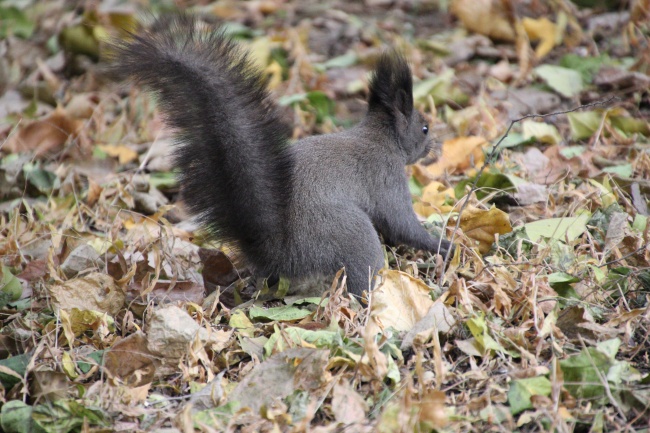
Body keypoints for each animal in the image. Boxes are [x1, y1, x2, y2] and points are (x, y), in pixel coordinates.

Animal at [110, 14, 450, 296]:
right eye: (424, 128)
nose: (433, 146)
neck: (381, 138)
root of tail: (280, 252)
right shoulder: (386, 176)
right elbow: (402, 224)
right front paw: (442, 243)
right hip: (350, 233)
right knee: (361, 279)